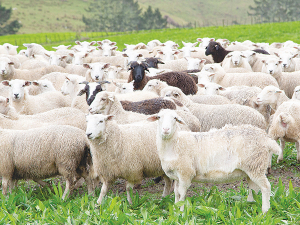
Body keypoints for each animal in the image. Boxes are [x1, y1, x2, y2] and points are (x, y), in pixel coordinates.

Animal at [148, 109, 282, 213]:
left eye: (175, 118)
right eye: (159, 117)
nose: (166, 129)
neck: (176, 143)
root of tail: (265, 138)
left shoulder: (186, 173)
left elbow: (182, 193)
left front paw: (181, 211)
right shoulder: (177, 175)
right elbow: (176, 193)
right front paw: (176, 209)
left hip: (256, 165)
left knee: (266, 187)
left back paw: (265, 210)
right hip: (251, 168)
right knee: (253, 188)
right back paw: (249, 204)